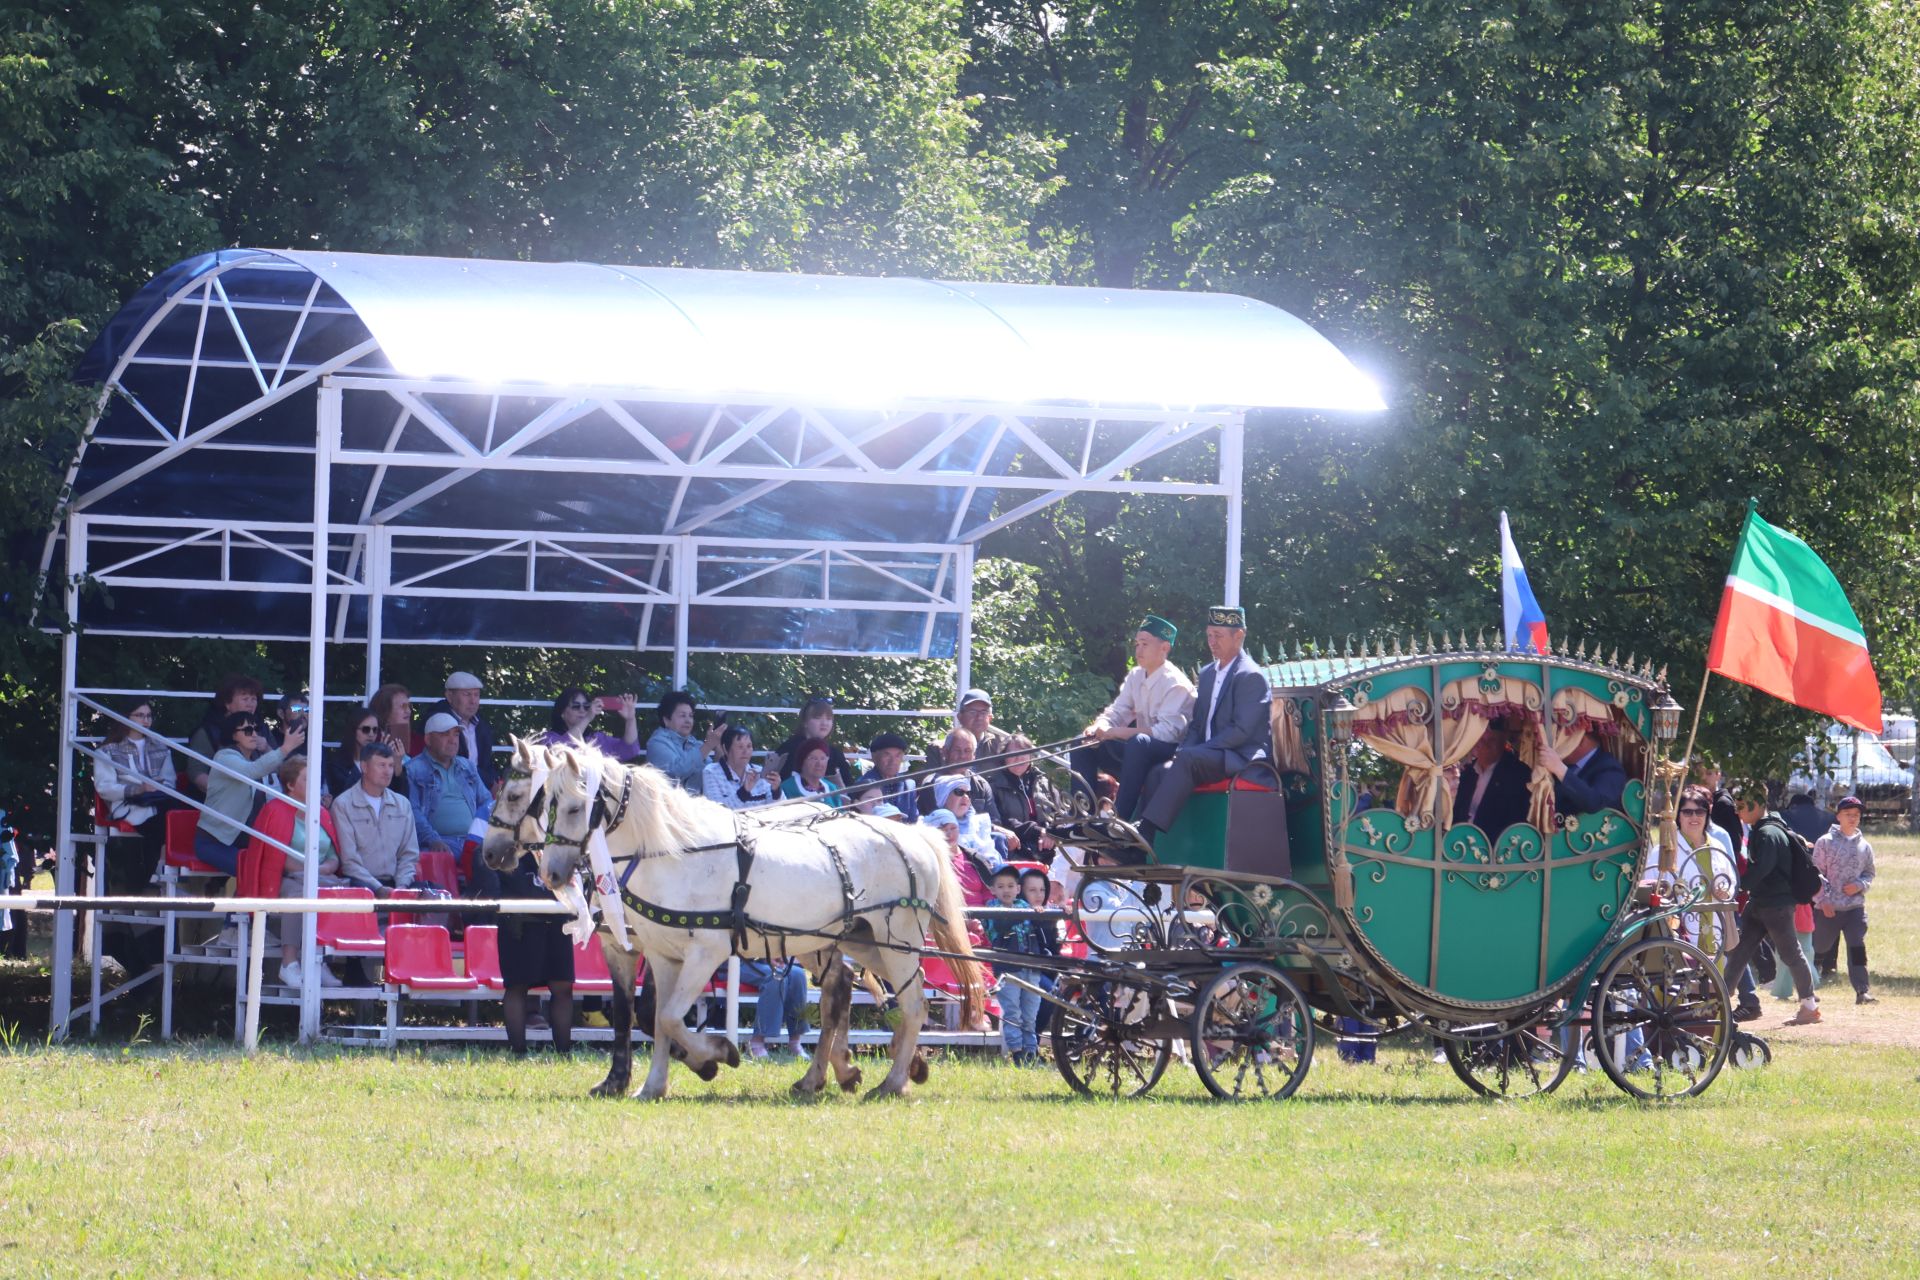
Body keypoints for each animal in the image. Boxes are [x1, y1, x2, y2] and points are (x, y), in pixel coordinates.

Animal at [541, 744, 990, 1097]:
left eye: (576, 807)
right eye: (546, 805)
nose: (551, 874)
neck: (676, 854)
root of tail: (915, 836)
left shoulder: (706, 952)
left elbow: (667, 1017)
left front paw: (718, 1054)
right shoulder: (664, 956)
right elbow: (660, 1019)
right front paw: (653, 1086)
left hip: (898, 941)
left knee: (913, 1004)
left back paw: (892, 1082)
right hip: (863, 941)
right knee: (859, 995)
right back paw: (844, 1074)